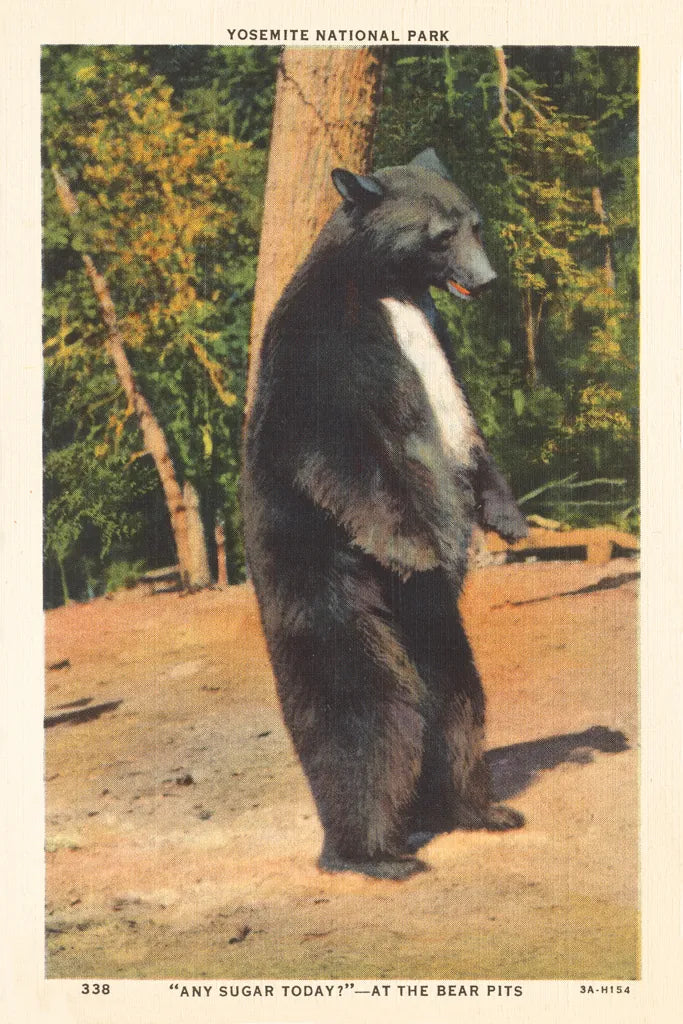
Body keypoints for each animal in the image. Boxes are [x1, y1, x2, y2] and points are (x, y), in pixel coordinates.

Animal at [242, 149, 528, 880]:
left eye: (476, 223)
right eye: (440, 234)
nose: (487, 281)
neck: (391, 291)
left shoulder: (436, 345)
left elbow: (468, 430)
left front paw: (509, 518)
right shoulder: (329, 342)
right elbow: (335, 443)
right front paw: (418, 544)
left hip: (436, 628)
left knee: (456, 701)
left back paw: (474, 811)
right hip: (330, 585)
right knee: (365, 709)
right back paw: (374, 853)